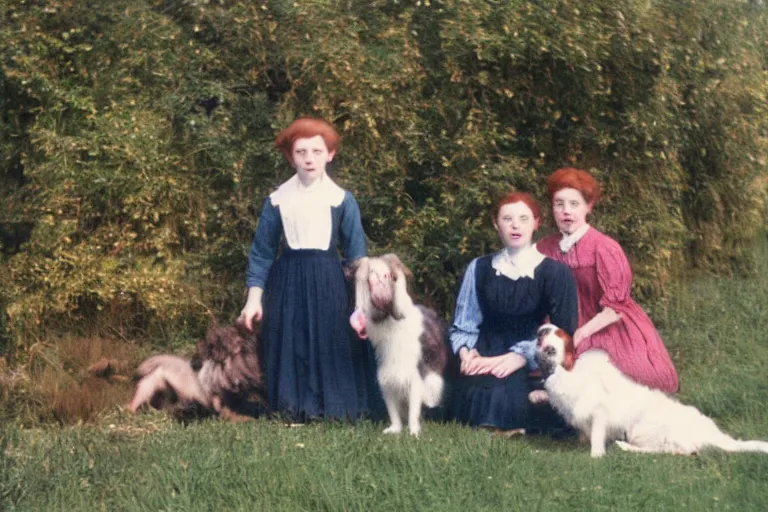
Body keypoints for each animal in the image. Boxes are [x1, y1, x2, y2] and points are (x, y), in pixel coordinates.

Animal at [350, 252, 448, 436]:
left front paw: (414, 432)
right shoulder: (386, 380)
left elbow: (413, 410)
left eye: (388, 275)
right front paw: (394, 430)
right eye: (370, 276)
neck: (391, 321)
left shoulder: (415, 378)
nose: (383, 298)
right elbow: (393, 410)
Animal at [536, 324, 768, 456]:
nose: (542, 329)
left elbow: (596, 436)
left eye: (558, 334)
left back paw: (628, 448)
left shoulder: (600, 412)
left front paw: (596, 456)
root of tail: (715, 435)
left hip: (642, 430)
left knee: (678, 452)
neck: (568, 372)